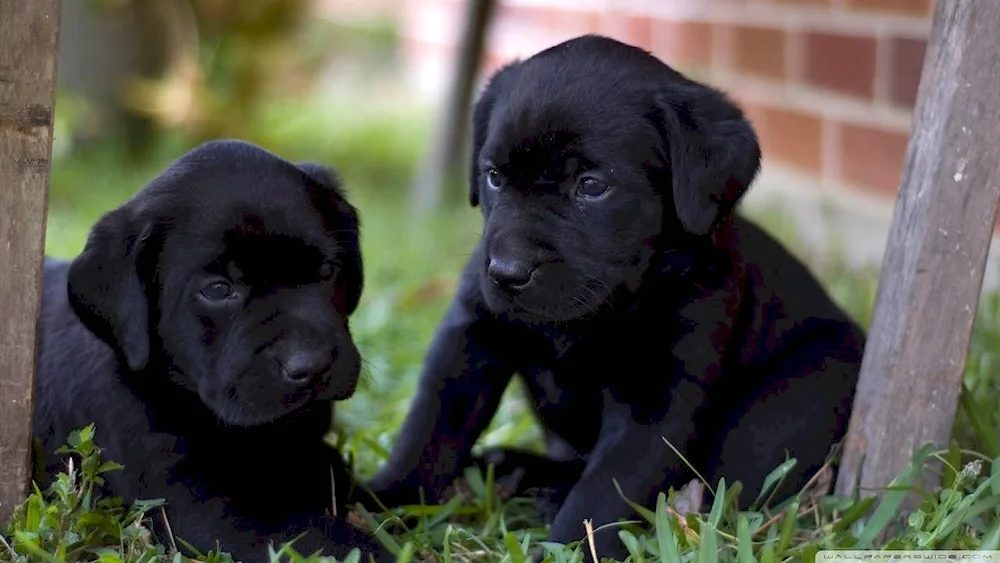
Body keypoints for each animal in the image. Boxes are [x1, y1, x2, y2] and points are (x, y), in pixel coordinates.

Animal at [364, 34, 864, 560]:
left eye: (591, 186)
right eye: (494, 176)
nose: (506, 272)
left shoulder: (656, 396)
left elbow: (604, 490)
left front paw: (565, 549)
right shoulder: (470, 336)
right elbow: (429, 429)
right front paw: (381, 500)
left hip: (786, 410)